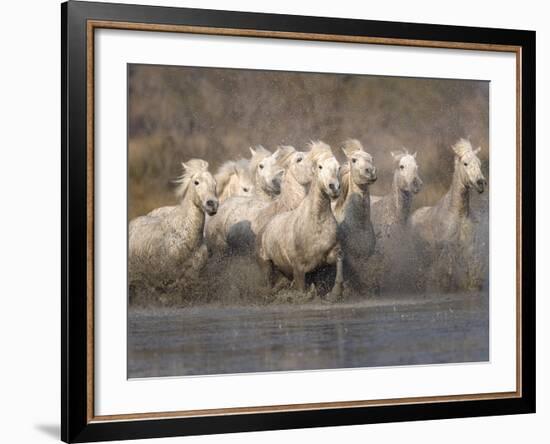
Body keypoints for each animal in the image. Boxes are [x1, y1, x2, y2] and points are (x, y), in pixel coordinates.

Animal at [258, 141, 344, 302]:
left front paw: (335, 294)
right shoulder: (299, 268)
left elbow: (339, 263)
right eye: (320, 166)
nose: (334, 187)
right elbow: (301, 290)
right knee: (268, 283)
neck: (316, 222)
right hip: (267, 263)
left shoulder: (328, 255)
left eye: (338, 167)